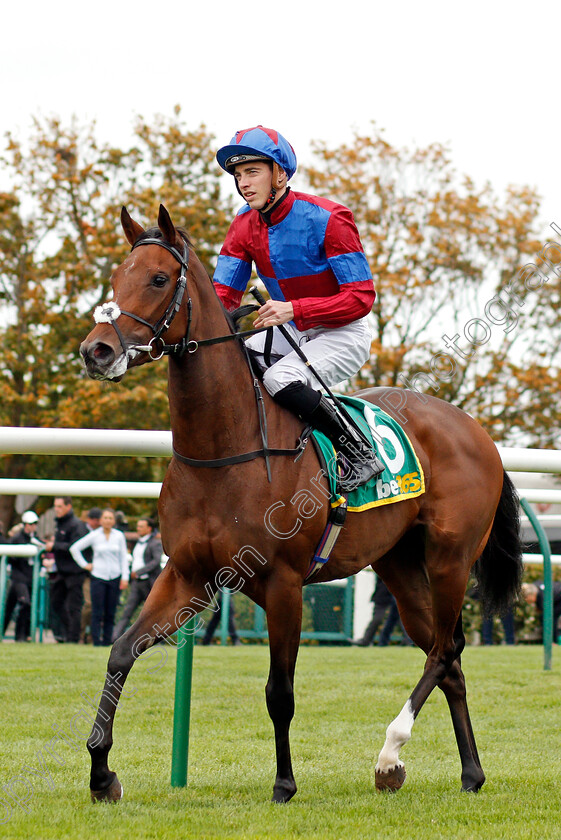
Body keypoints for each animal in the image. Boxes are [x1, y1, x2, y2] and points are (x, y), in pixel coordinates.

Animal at [77, 203, 520, 800]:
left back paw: (389, 754)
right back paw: (468, 772)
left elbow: (278, 692)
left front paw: (284, 783)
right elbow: (121, 652)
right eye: (116, 277)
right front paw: (102, 773)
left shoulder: (284, 584)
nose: (96, 350)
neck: (225, 448)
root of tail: (478, 432)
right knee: (448, 657)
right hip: (400, 566)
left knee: (445, 649)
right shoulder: (188, 575)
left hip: (450, 558)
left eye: (159, 279)